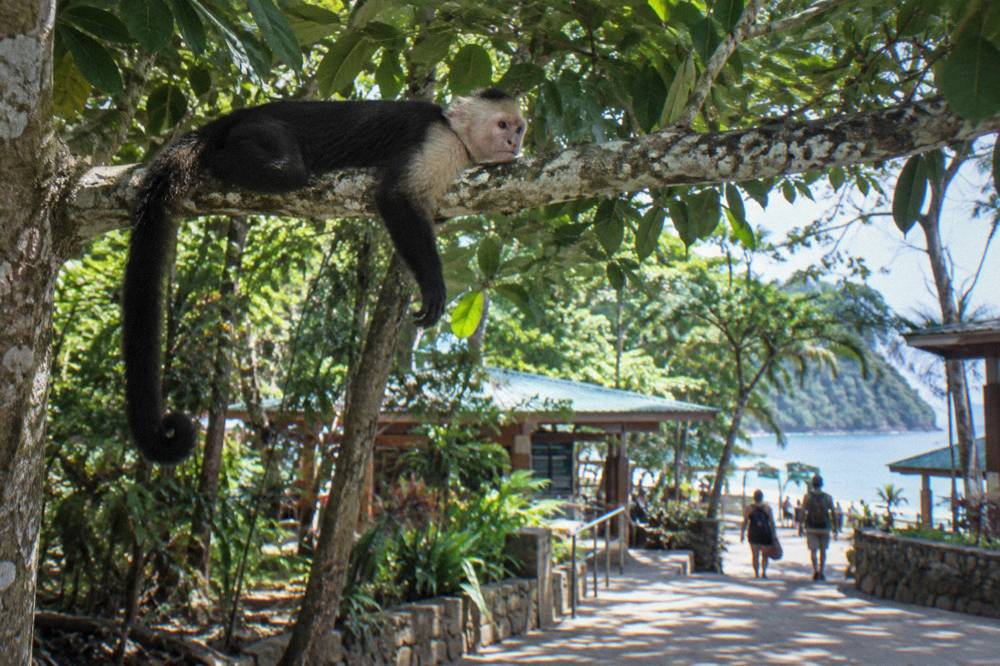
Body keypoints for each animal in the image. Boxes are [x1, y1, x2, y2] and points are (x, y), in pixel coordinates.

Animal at [124, 88, 526, 464]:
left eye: (519, 128)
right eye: (502, 125)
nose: (515, 143)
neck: (454, 131)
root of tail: (240, 115)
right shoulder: (438, 144)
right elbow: (395, 197)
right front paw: (433, 287)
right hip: (263, 129)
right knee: (288, 170)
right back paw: (217, 157)